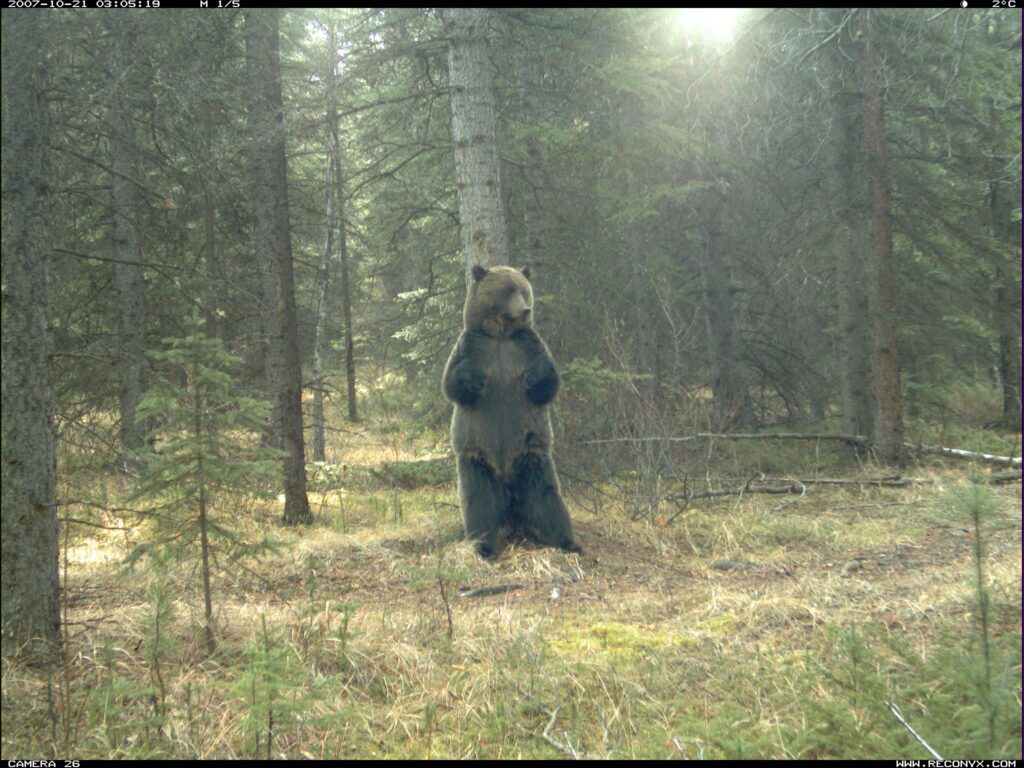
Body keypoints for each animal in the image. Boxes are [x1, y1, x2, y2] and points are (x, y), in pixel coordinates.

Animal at [442, 266, 581, 561]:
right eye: (507, 290)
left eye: (523, 290)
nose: (526, 309)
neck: (501, 336)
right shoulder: (471, 346)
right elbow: (452, 385)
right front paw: (473, 378)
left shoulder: (527, 347)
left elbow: (548, 384)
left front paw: (535, 375)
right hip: (478, 458)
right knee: (479, 503)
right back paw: (482, 546)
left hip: (532, 455)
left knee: (546, 498)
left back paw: (566, 541)